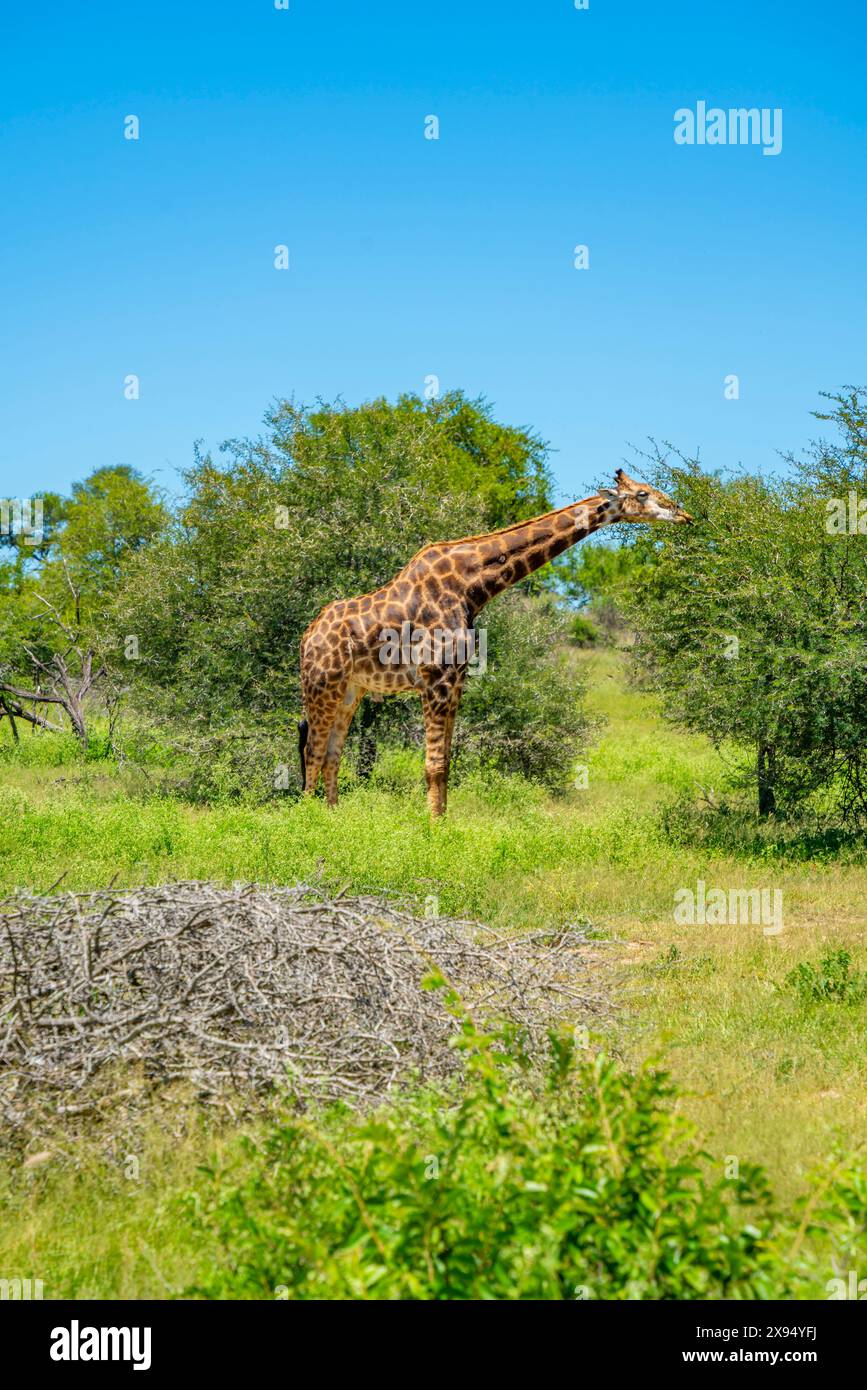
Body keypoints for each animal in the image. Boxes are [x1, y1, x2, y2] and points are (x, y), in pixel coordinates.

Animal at [299, 468, 691, 815]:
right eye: (642, 493)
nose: (683, 513)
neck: (471, 587)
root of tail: (307, 636)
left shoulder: (457, 680)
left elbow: (447, 762)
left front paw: (444, 823)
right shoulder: (436, 677)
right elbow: (433, 763)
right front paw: (432, 828)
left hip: (350, 690)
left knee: (332, 752)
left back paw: (333, 815)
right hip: (322, 684)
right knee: (313, 750)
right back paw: (308, 820)